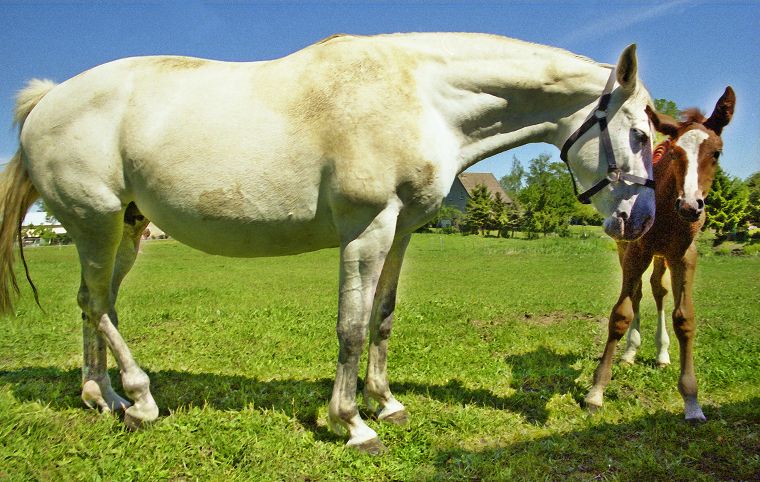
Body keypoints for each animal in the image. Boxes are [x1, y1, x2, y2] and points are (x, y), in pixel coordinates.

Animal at [0, 34, 652, 452]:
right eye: (643, 133)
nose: (641, 219)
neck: (418, 96)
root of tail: (46, 99)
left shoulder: (400, 233)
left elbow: (383, 318)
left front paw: (386, 401)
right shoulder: (367, 229)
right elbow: (352, 326)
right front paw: (353, 423)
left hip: (124, 230)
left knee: (96, 304)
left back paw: (102, 396)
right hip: (96, 222)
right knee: (95, 304)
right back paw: (140, 399)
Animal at [584, 87, 732, 422]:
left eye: (716, 153)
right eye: (676, 153)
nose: (690, 205)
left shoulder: (684, 257)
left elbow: (684, 318)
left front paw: (691, 400)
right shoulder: (637, 250)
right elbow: (622, 313)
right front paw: (597, 390)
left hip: (663, 258)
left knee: (658, 291)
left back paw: (662, 353)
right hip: (629, 249)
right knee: (640, 291)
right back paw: (630, 351)